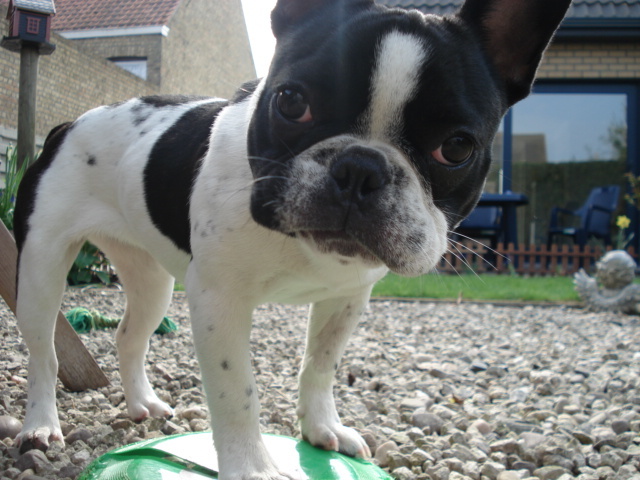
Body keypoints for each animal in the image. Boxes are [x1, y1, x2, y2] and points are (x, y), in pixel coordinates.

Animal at [13, 0, 571, 478]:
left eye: (456, 147)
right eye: (291, 101)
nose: (360, 167)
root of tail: (69, 124)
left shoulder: (347, 299)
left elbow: (320, 366)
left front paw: (322, 428)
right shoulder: (219, 301)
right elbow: (237, 391)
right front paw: (251, 467)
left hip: (150, 278)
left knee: (130, 335)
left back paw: (141, 404)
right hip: (40, 270)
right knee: (44, 353)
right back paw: (40, 425)